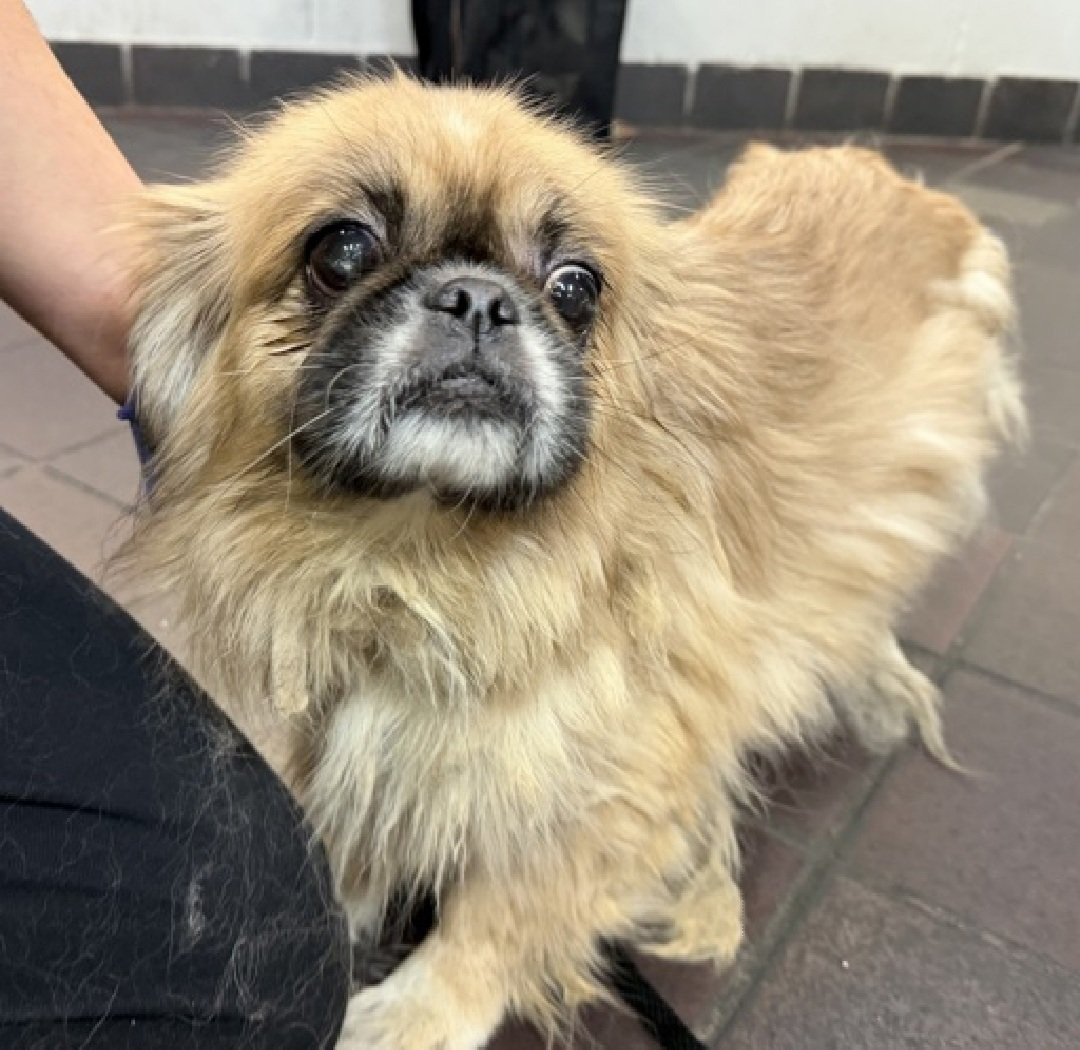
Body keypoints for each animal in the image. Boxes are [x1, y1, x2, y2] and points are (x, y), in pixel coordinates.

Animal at [123, 74, 1025, 1049]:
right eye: (343, 248)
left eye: (575, 285)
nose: (478, 298)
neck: (417, 562)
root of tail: (898, 182)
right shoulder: (355, 719)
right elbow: (362, 816)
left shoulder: (609, 786)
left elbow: (499, 914)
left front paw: (415, 1012)